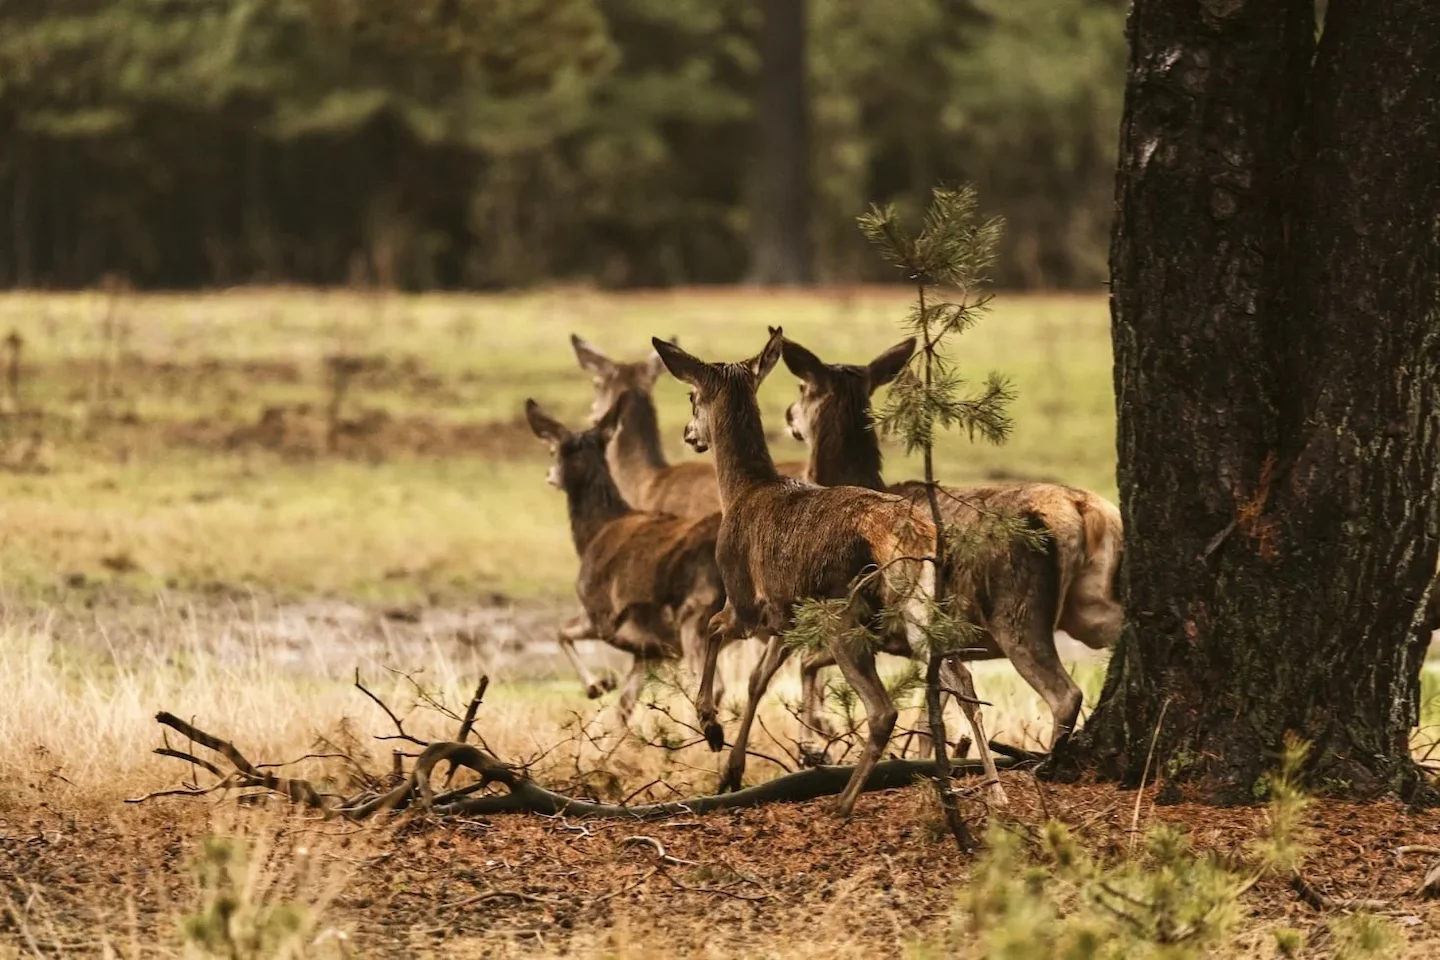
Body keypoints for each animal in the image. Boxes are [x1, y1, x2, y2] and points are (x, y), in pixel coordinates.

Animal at [524, 395, 736, 722]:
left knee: (713, 688)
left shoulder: (601, 615)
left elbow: (561, 632)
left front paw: (596, 686)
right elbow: (622, 710)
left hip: (696, 615)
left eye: (553, 449)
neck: (593, 534)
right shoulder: (650, 651)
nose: (549, 475)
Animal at [651, 327, 1005, 818]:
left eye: (690, 396)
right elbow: (759, 679)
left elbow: (714, 629)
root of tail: (912, 536)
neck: (742, 492)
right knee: (962, 682)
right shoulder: (787, 617)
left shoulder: (745, 598)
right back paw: (996, 790)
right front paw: (732, 770)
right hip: (920, 611)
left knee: (883, 709)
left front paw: (711, 727)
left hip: (844, 613)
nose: (690, 435)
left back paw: (842, 801)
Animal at [775, 330, 1124, 753]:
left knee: (1065, 694)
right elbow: (931, 716)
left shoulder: (871, 618)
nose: (788, 414)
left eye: (802, 387)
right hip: (1091, 606)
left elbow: (808, 663)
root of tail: (1083, 511)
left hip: (1017, 610)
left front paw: (812, 741)